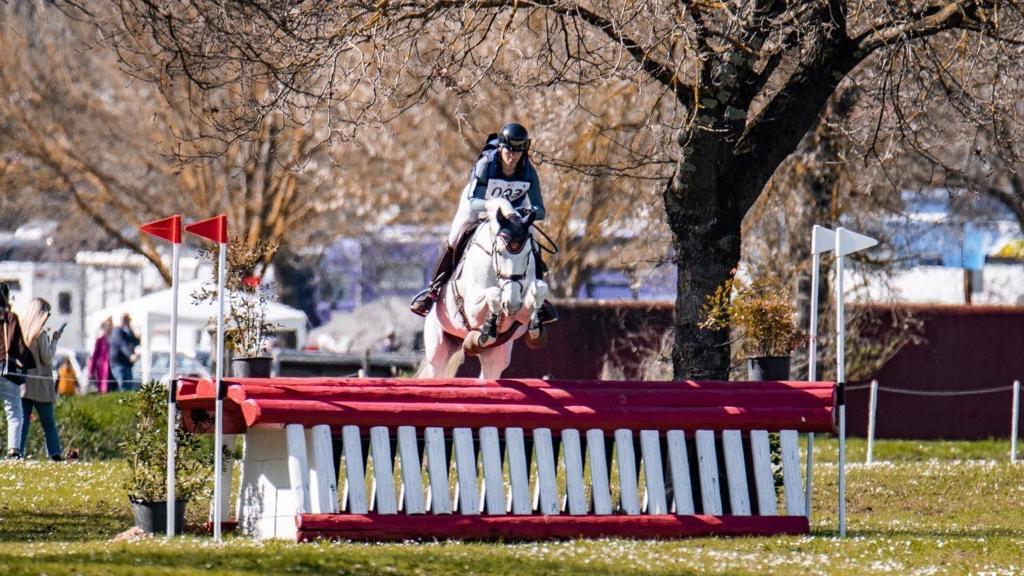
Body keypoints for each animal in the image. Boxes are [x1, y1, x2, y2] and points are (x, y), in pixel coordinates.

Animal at [417, 199, 552, 379]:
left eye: (529, 253)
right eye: (499, 252)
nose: (512, 305)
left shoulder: (520, 314)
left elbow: (539, 289)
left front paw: (536, 328)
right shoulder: (471, 309)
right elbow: (494, 294)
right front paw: (488, 327)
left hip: (496, 356)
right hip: (438, 348)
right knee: (436, 371)